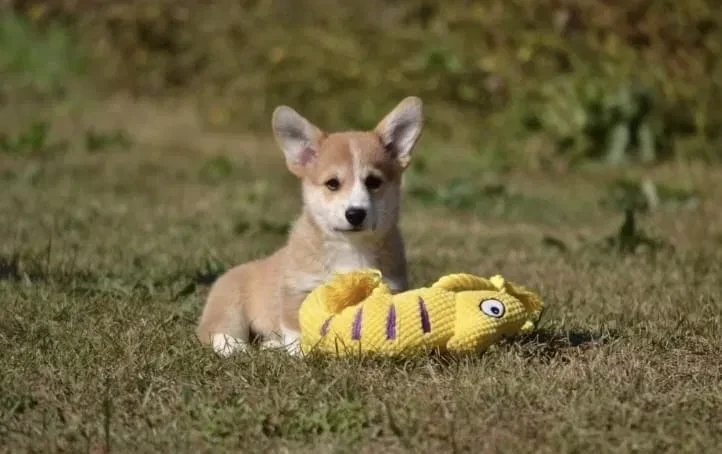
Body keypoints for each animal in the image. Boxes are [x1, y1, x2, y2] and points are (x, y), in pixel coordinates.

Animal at [194, 96, 424, 358]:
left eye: (373, 182)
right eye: (332, 184)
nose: (355, 213)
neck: (350, 247)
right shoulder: (298, 288)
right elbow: (296, 325)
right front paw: (299, 352)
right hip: (229, 303)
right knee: (217, 329)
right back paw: (233, 346)